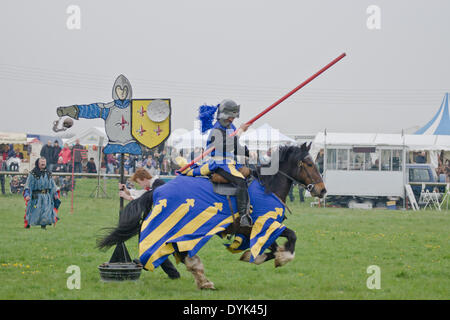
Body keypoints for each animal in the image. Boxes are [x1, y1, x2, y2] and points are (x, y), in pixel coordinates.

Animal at [96, 142, 326, 290]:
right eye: (309, 164)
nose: (322, 190)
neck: (267, 186)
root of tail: (157, 190)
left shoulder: (255, 230)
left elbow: (272, 246)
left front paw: (265, 255)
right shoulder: (265, 224)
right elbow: (291, 238)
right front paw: (281, 257)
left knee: (183, 255)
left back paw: (202, 279)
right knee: (178, 254)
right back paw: (202, 279)